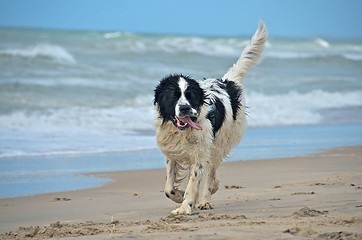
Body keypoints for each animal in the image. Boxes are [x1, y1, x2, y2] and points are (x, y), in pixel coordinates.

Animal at [154, 22, 268, 215]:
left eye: (190, 96)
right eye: (173, 96)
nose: (185, 108)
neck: (183, 131)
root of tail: (227, 82)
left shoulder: (200, 153)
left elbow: (194, 180)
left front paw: (185, 207)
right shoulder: (173, 152)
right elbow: (169, 187)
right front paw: (179, 195)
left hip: (218, 144)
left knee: (211, 172)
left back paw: (206, 199)